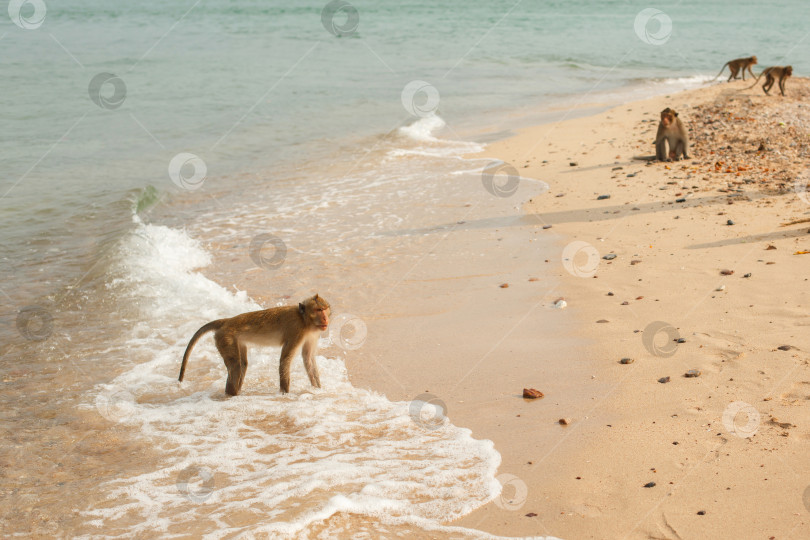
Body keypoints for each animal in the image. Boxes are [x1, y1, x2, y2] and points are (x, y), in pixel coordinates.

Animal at [178, 294, 330, 394]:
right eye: (318, 310)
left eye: (324, 309)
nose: (325, 318)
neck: (304, 320)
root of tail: (227, 321)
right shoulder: (296, 330)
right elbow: (285, 359)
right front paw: (285, 393)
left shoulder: (312, 334)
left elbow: (308, 358)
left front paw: (318, 389)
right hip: (225, 337)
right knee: (236, 366)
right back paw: (231, 394)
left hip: (235, 339)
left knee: (242, 364)